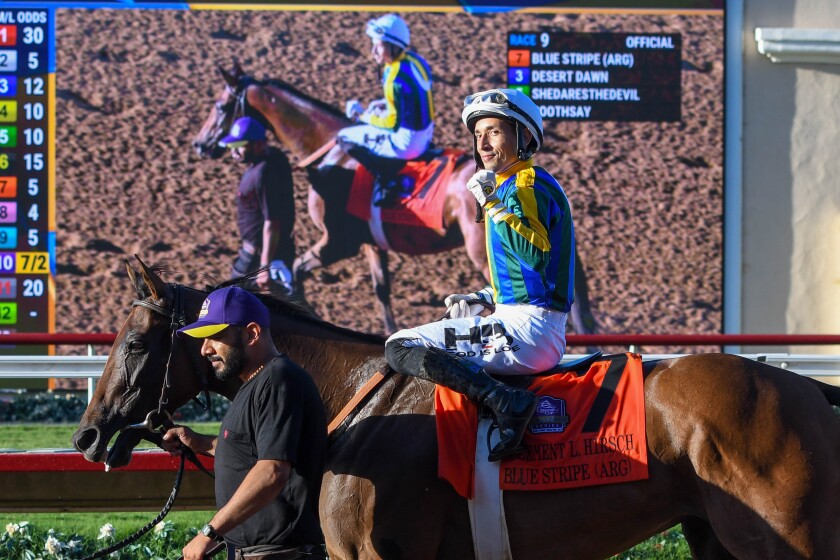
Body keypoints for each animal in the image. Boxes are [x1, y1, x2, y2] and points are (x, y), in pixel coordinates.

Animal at [74, 260, 840, 556]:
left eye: (135, 342)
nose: (86, 434)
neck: (356, 395)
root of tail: (812, 390)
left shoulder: (374, 553)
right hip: (717, 536)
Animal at [190, 64, 596, 340]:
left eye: (220, 105)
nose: (199, 143)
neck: (332, 151)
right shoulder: (372, 244)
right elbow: (381, 290)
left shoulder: (337, 241)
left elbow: (298, 272)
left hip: (481, 250)